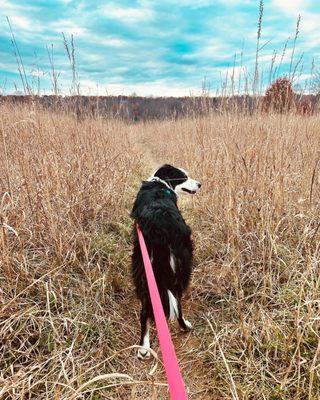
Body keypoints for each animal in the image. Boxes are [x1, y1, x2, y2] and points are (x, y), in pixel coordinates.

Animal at [130, 163, 200, 360]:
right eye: (184, 177)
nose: (199, 184)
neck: (161, 184)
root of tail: (161, 226)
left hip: (143, 265)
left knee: (146, 309)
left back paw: (144, 347)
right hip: (180, 266)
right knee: (177, 301)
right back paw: (184, 326)